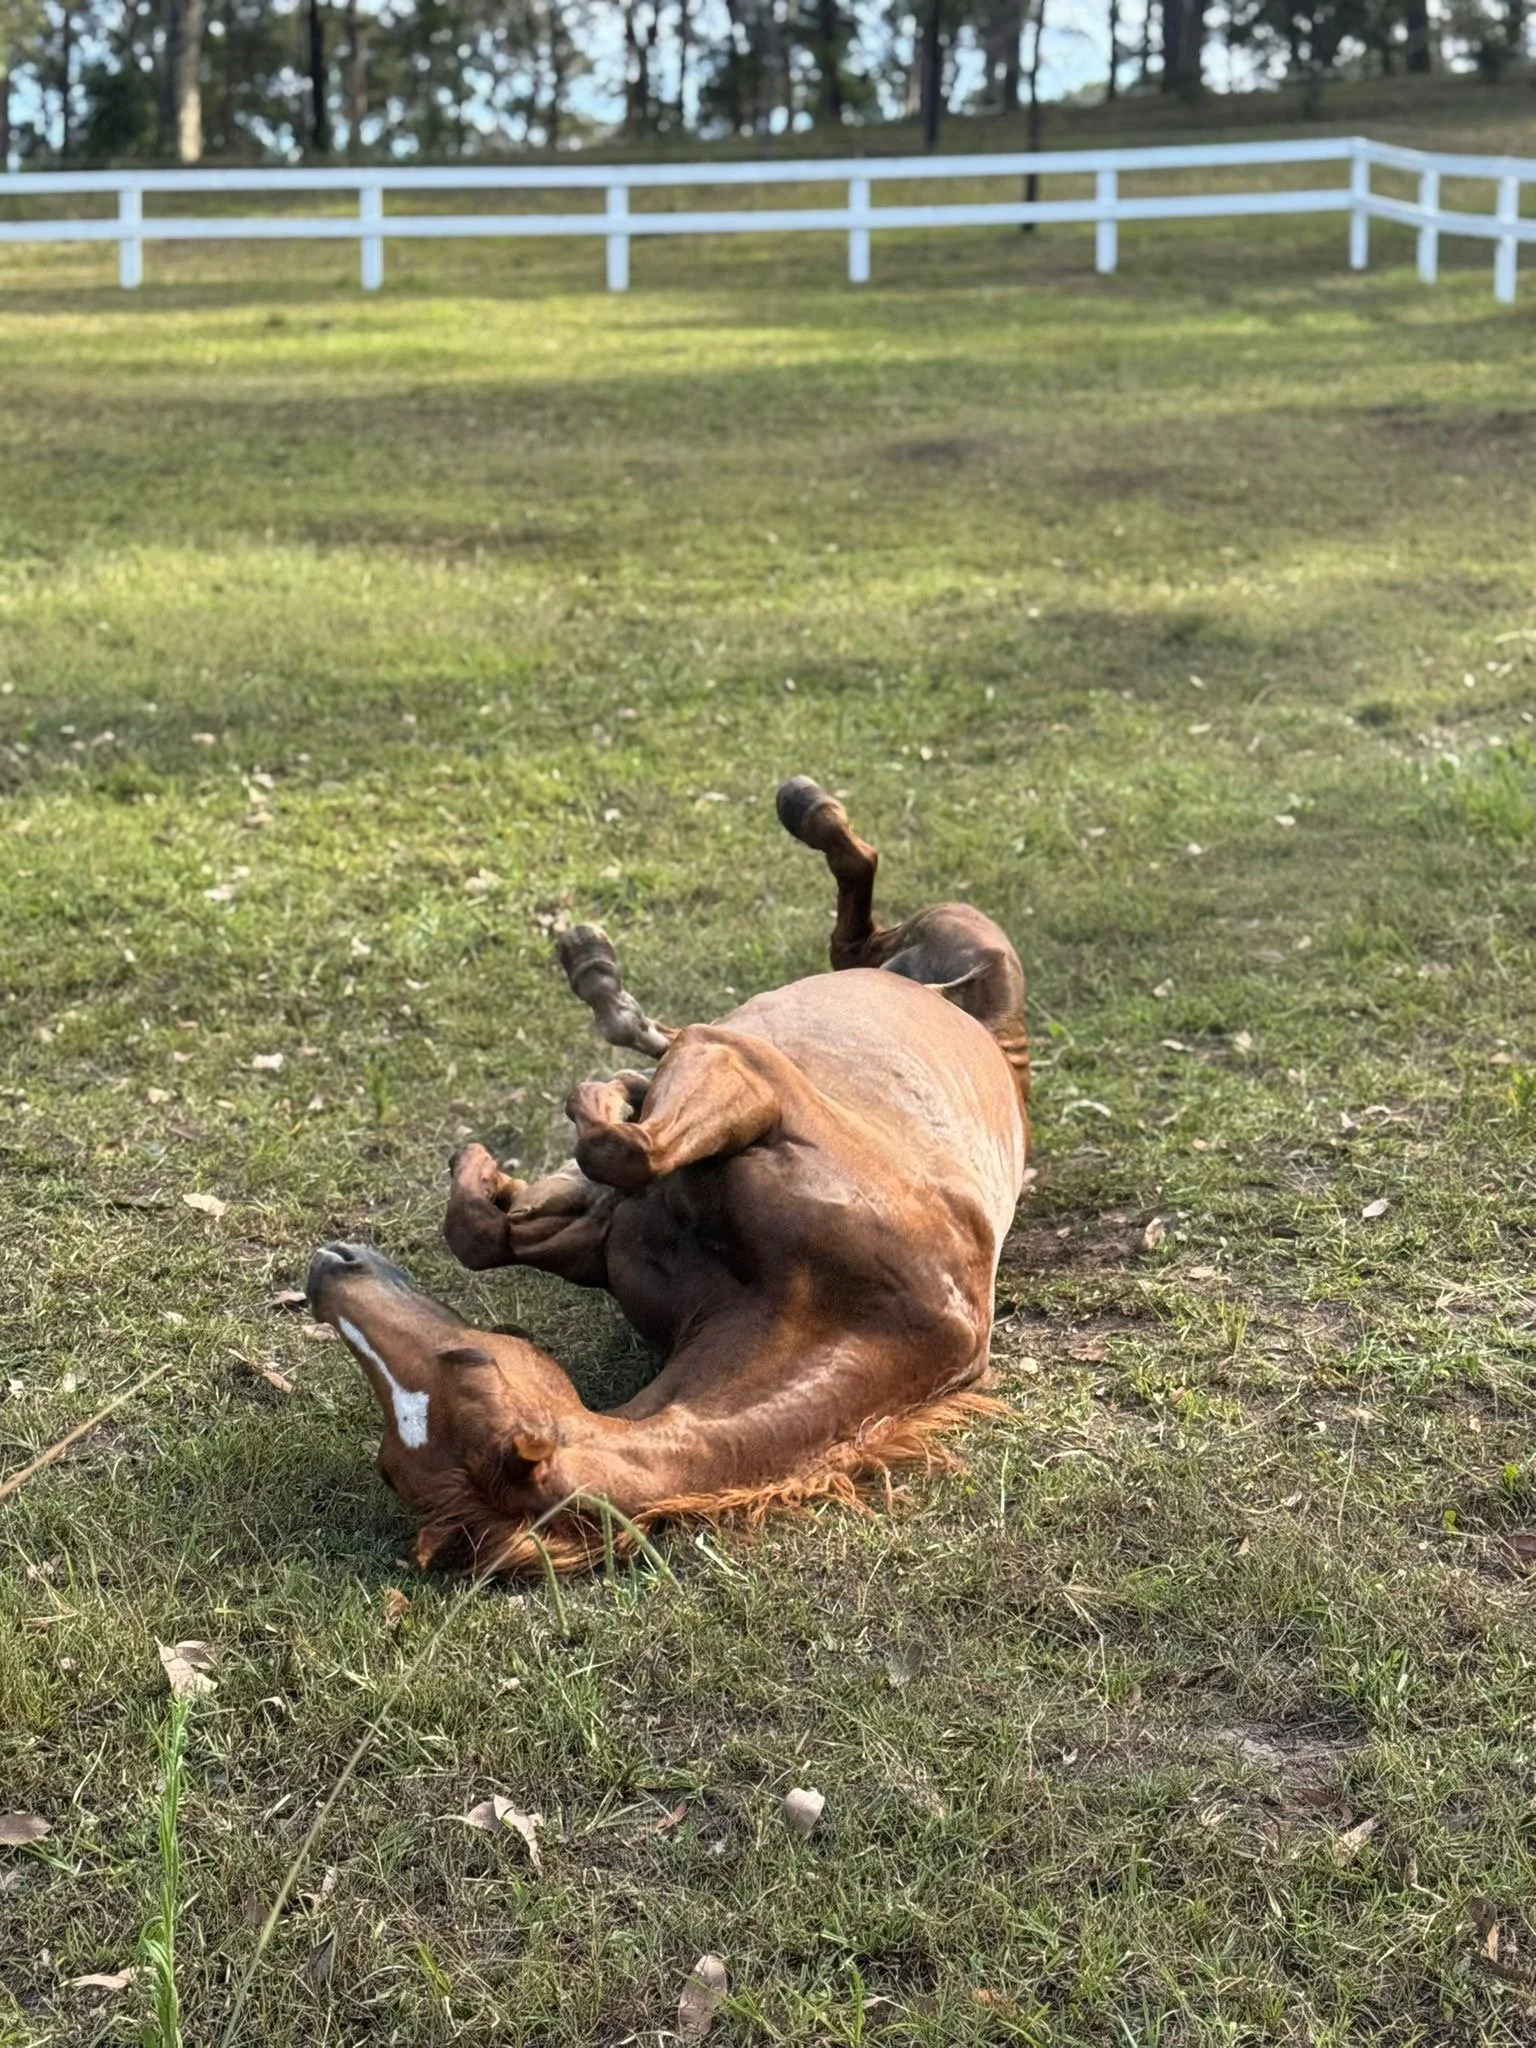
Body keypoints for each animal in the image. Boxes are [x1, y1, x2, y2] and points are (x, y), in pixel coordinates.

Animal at [305, 778, 1030, 1572]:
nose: (327, 1267)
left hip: (958, 932)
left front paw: (586, 1110)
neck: (855, 1310)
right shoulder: (615, 1228)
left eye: (469, 1360)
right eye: (388, 1464)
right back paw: (601, 976)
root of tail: (993, 1033)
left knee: (852, 918)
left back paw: (796, 816)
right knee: (822, 955)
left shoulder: (742, 1070)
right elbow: (487, 1230)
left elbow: (619, 1150)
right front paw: (508, 1173)